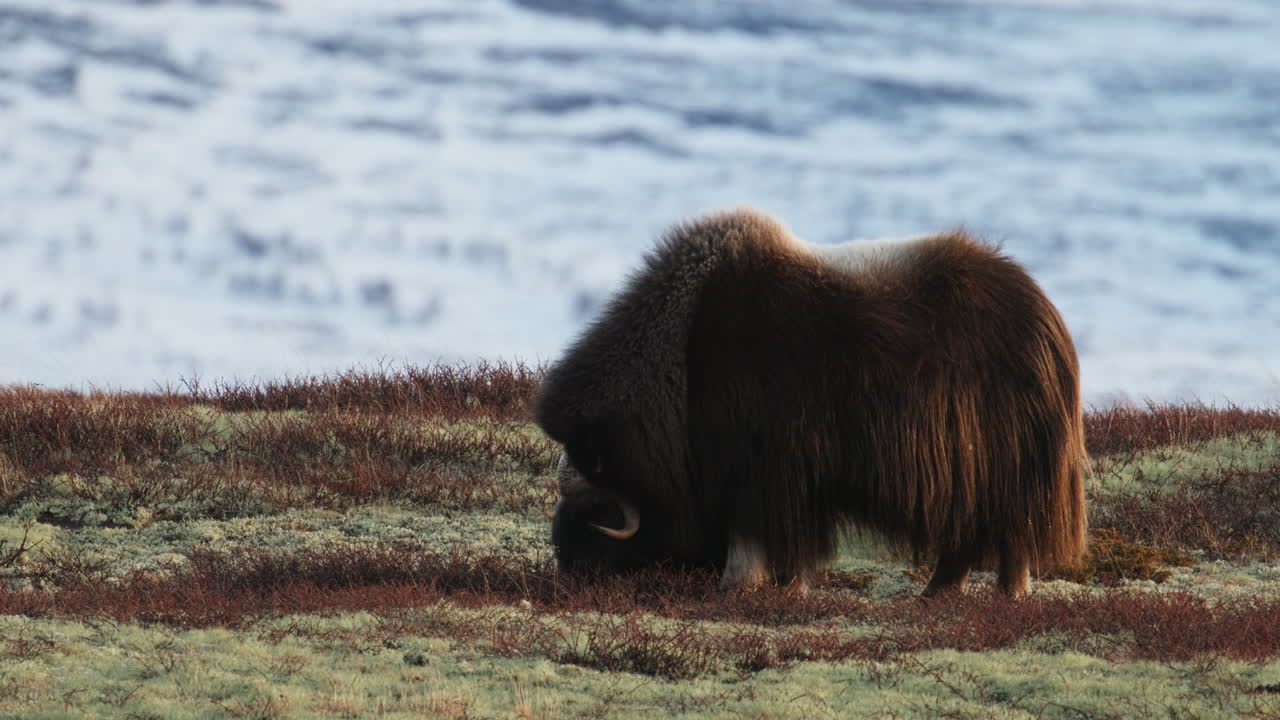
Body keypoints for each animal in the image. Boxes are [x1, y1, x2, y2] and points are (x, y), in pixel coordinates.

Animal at [535, 208, 1087, 596]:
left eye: (592, 507)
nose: (568, 576)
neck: (682, 369)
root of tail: (1046, 317)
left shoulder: (764, 470)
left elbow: (759, 536)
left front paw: (745, 586)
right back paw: (936, 594)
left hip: (1001, 467)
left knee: (1009, 531)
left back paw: (1004, 593)